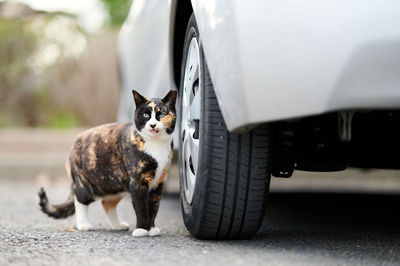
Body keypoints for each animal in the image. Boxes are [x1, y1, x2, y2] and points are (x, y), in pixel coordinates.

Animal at [38, 90, 177, 237]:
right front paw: (141, 229)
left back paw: (117, 225)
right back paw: (83, 224)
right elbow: (141, 207)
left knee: (107, 203)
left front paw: (152, 229)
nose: (152, 125)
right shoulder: (138, 183)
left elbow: (153, 207)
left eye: (161, 114)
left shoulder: (158, 184)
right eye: (145, 115)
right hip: (85, 183)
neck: (156, 144)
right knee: (80, 199)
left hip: (113, 184)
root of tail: (75, 142)